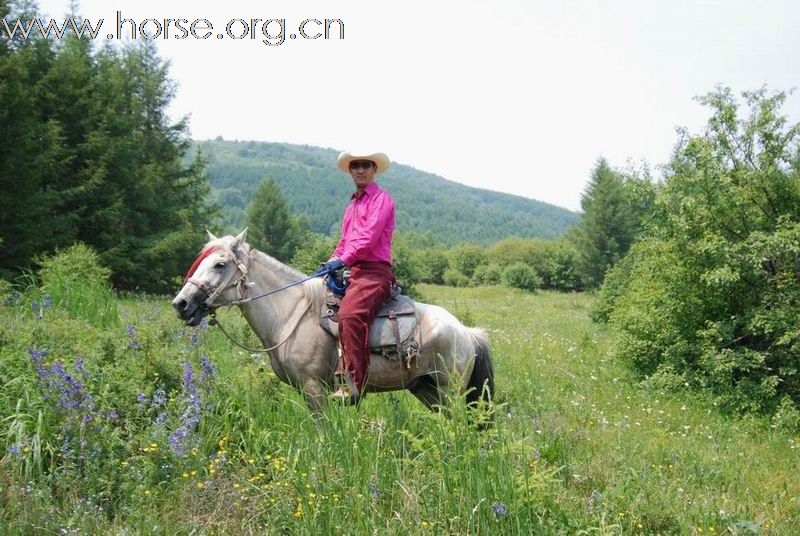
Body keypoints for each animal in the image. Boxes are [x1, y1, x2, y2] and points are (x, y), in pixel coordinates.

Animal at [172, 230, 490, 414]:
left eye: (220, 264)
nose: (181, 304)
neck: (291, 314)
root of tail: (466, 332)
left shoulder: (314, 390)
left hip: (449, 389)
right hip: (426, 389)